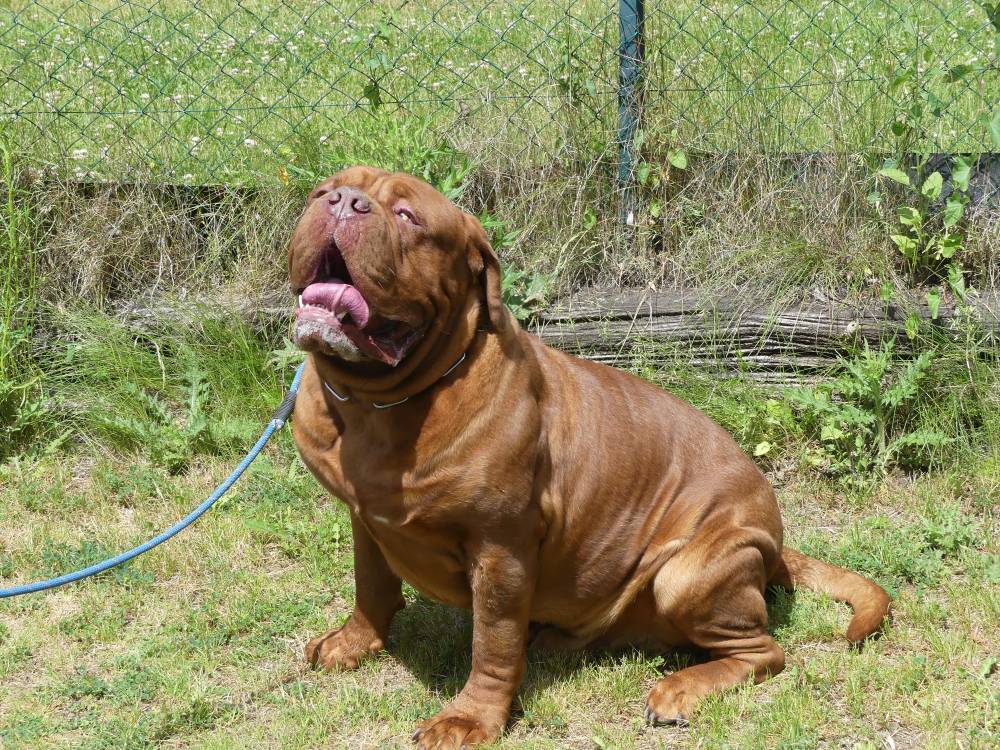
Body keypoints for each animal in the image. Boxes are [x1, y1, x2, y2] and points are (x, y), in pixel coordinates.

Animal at [290, 167, 892, 748]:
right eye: (323, 191)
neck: (380, 402)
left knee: (764, 651)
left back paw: (678, 689)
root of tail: (777, 540)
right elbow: (372, 586)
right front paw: (355, 642)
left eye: (407, 215)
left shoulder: (500, 550)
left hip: (687, 574)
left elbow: (493, 646)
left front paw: (471, 718)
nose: (344, 203)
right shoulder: (365, 518)